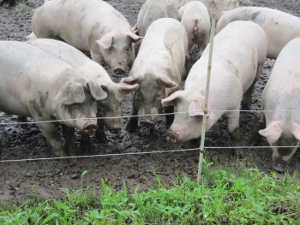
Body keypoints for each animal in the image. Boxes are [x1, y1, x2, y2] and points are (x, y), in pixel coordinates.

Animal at [162, 20, 268, 153]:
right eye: (177, 110)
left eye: (193, 116)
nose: (171, 133)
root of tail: (249, 22)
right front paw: (193, 144)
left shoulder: (234, 106)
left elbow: (233, 130)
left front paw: (238, 154)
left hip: (261, 63)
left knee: (252, 86)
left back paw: (246, 107)